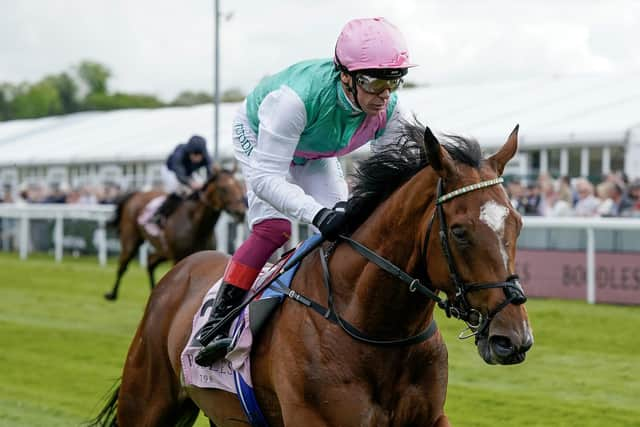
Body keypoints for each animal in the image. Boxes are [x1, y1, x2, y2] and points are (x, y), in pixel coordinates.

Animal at [104, 166, 246, 302]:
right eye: (223, 188)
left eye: (239, 185)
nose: (240, 212)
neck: (197, 225)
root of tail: (137, 193)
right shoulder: (178, 258)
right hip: (131, 240)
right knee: (123, 265)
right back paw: (112, 294)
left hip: (163, 250)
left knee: (150, 262)